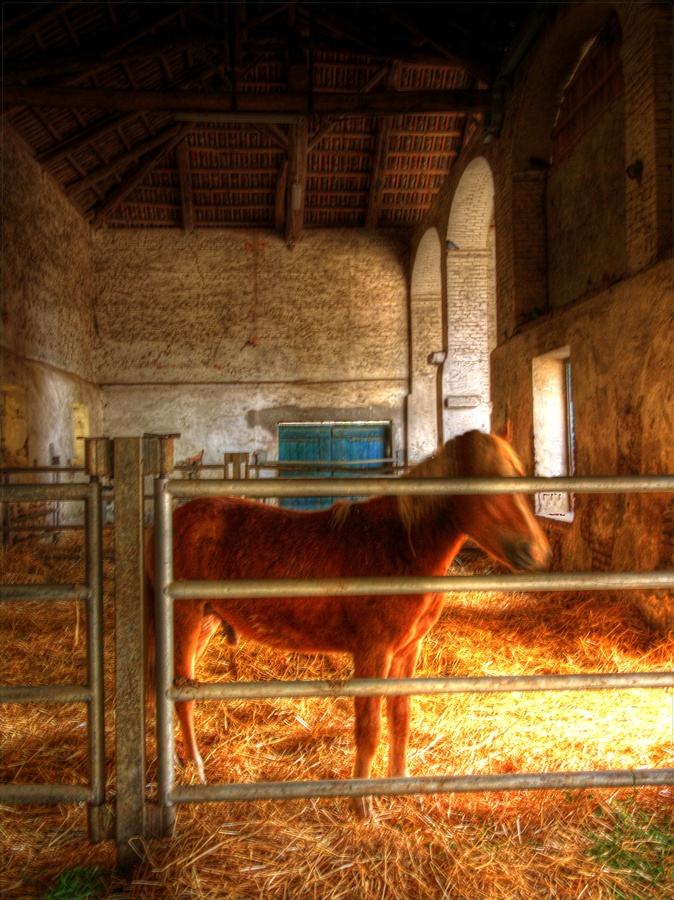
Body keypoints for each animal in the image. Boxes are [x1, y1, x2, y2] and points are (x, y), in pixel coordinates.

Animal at [145, 426, 551, 818]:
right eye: (488, 484)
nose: (537, 552)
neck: (399, 545)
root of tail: (175, 518)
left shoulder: (407, 650)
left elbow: (400, 719)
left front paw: (401, 785)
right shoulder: (373, 653)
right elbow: (369, 730)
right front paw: (363, 805)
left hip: (206, 621)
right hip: (184, 618)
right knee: (180, 694)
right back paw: (197, 771)